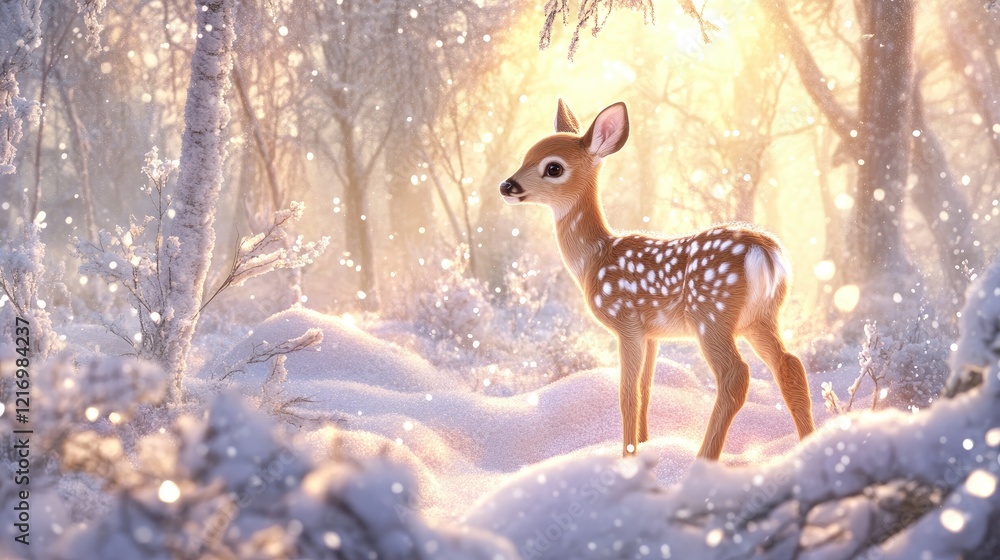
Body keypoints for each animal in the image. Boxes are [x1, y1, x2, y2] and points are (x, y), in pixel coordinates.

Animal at [499, 100, 815, 460]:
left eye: (553, 168)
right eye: (526, 155)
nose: (507, 186)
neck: (595, 257)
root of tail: (764, 252)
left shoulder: (627, 322)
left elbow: (627, 395)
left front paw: (628, 457)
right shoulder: (652, 334)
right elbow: (646, 390)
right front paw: (648, 445)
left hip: (711, 314)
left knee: (736, 375)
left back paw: (703, 459)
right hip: (761, 317)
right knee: (790, 364)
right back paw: (810, 444)